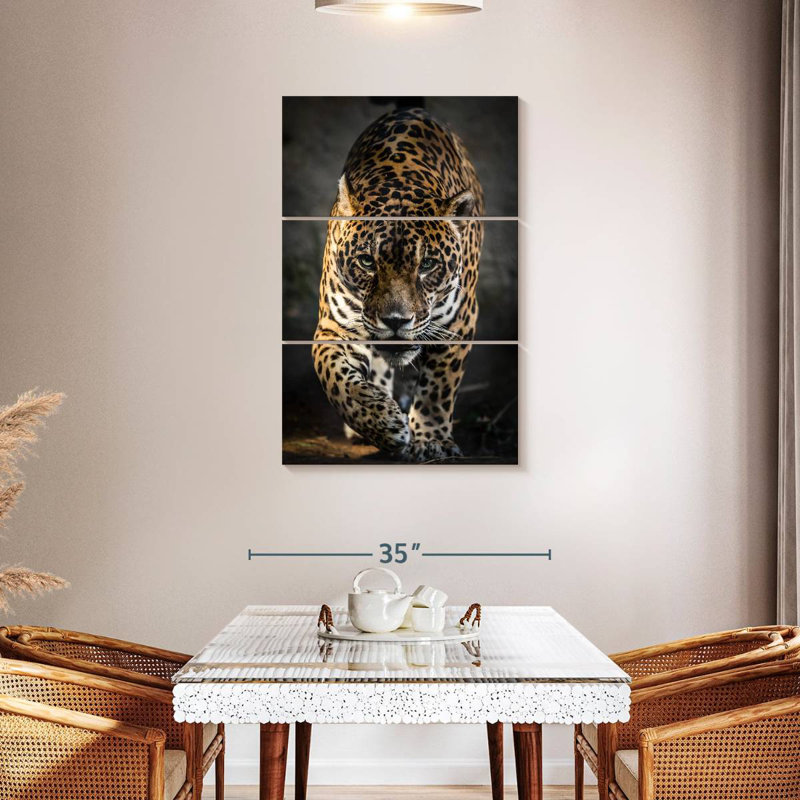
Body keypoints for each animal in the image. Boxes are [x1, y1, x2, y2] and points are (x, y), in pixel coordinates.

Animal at [312, 107, 484, 462]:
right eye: (367, 262)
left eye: (427, 265)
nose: (395, 321)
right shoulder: (334, 328)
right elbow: (336, 379)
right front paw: (382, 423)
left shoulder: (458, 323)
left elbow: (438, 388)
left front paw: (432, 440)